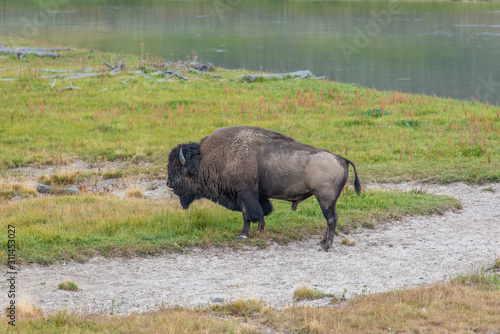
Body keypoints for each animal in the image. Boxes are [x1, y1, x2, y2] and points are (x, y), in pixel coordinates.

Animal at [167, 126, 360, 252]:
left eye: (177, 169)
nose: (169, 184)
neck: (207, 159)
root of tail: (341, 158)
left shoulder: (245, 194)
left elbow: (247, 214)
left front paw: (243, 234)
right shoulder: (257, 195)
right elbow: (260, 211)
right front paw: (260, 229)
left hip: (324, 200)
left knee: (330, 220)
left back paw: (326, 246)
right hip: (330, 202)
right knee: (333, 219)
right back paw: (322, 243)